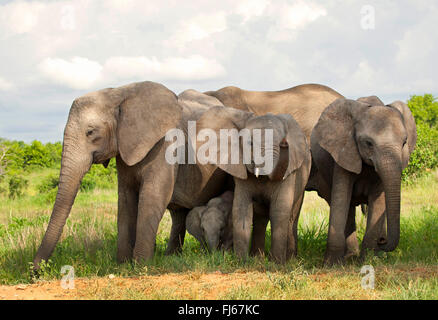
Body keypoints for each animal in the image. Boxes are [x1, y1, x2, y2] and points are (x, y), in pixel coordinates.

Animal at [33, 81, 236, 268]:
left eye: (90, 132)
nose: (36, 271)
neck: (119, 94)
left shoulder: (166, 144)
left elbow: (153, 195)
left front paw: (141, 266)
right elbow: (125, 198)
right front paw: (123, 265)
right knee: (179, 214)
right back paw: (171, 258)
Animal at [195, 106, 312, 264]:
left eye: (282, 142)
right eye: (249, 143)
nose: (284, 143)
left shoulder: (288, 172)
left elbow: (279, 209)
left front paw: (277, 264)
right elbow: (241, 209)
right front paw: (241, 261)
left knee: (292, 217)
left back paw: (290, 260)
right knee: (260, 218)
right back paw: (258, 258)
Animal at [310, 95, 416, 264]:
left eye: (404, 142)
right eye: (368, 143)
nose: (382, 241)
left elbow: (378, 201)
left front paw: (368, 261)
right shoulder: (344, 152)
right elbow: (341, 198)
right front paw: (330, 264)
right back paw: (349, 257)